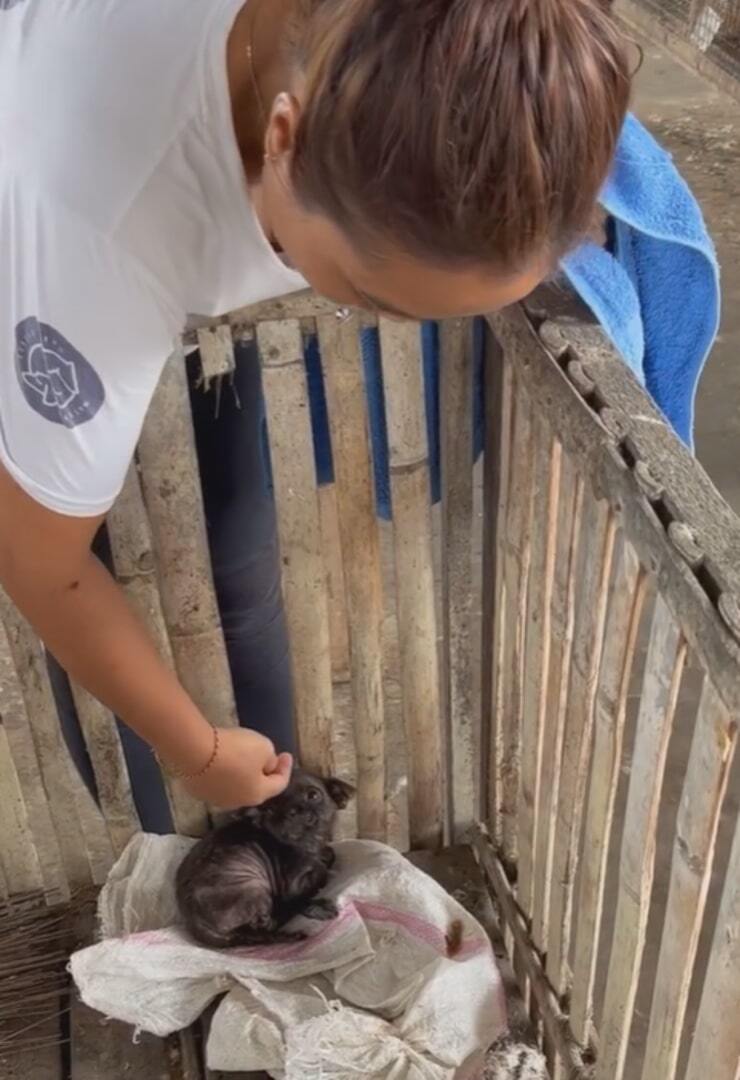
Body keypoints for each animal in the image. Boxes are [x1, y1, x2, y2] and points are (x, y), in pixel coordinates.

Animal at [176, 768, 354, 946]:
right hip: (254, 887)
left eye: (313, 795)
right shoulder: (292, 884)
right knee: (272, 921)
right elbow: (316, 877)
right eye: (271, 810)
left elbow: (329, 854)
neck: (310, 843)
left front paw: (325, 857)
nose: (292, 812)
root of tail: (196, 924)